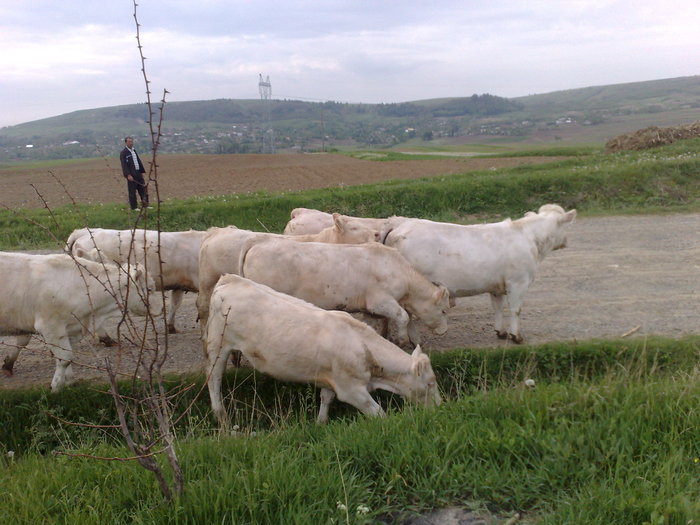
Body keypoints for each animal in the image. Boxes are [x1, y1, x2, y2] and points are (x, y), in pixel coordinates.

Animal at [0, 252, 163, 390]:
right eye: (149, 289)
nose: (161, 309)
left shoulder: (70, 328)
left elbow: (68, 357)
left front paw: (70, 382)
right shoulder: (50, 327)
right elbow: (65, 358)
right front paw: (56, 387)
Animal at [205, 274, 440, 426]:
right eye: (430, 383)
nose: (441, 407)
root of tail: (230, 279)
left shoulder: (331, 377)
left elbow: (326, 399)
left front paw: (320, 423)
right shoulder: (351, 389)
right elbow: (377, 413)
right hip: (218, 345)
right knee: (214, 379)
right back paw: (221, 416)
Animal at [239, 236, 448, 344]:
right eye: (444, 310)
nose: (444, 331)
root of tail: (259, 242)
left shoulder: (369, 310)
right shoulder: (380, 302)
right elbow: (403, 316)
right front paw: (403, 340)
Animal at [382, 203, 576, 342]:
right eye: (565, 225)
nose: (566, 241)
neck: (529, 238)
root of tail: (400, 226)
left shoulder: (497, 286)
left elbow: (498, 308)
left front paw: (500, 331)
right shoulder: (518, 282)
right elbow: (516, 309)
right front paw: (516, 336)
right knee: (408, 314)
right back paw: (414, 340)